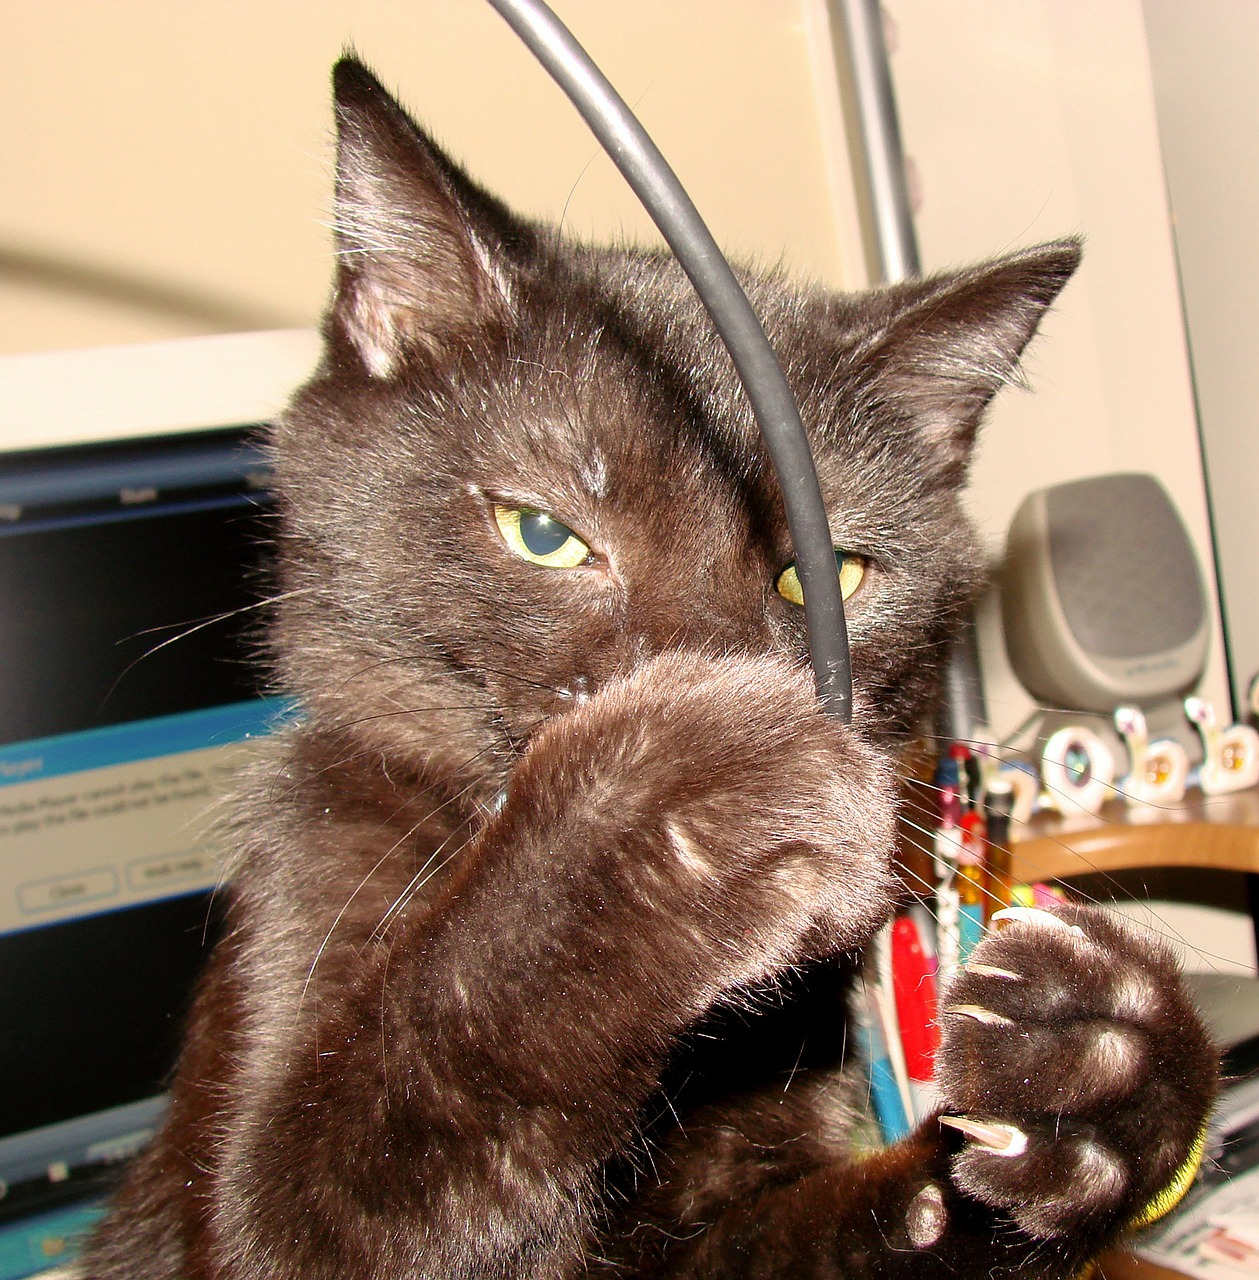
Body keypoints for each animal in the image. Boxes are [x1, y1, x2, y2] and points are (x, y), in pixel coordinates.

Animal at [81, 55, 1218, 1274]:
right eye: (542, 532)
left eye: (828, 573)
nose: (717, 666)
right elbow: (377, 1124)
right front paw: (687, 793)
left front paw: (1098, 1064)